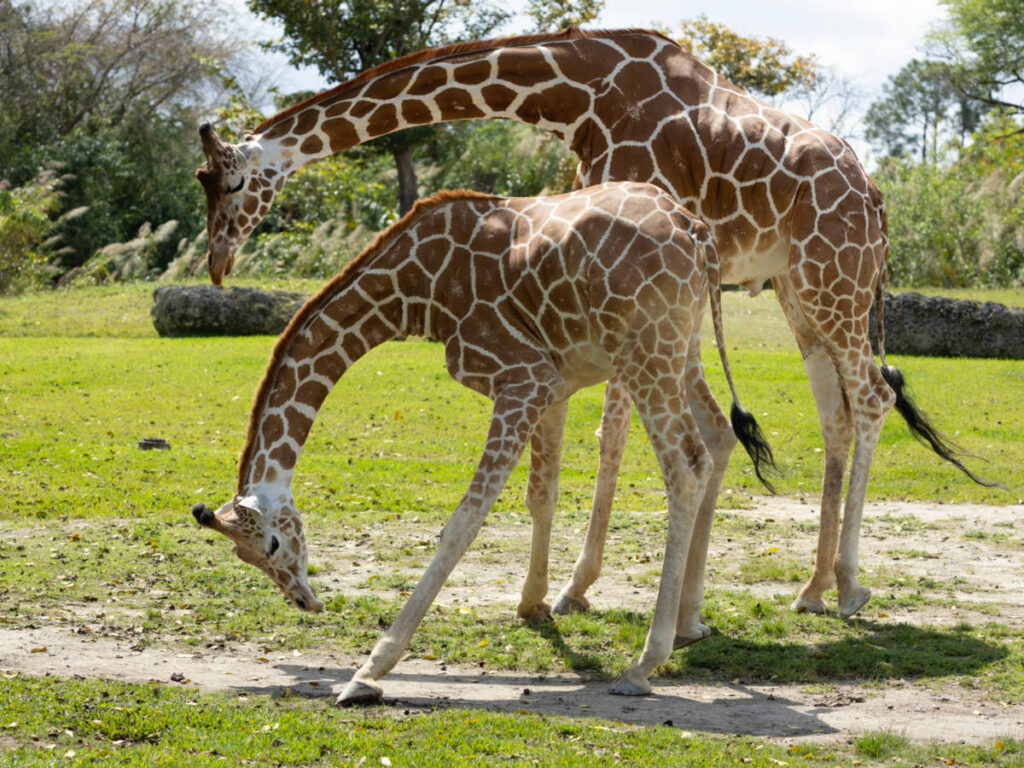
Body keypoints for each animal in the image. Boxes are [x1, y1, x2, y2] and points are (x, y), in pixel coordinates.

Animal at [191, 181, 774, 704]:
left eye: (270, 545)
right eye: (244, 557)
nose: (304, 601)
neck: (418, 290)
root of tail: (696, 232)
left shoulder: (523, 378)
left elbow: (462, 522)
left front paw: (369, 672)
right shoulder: (556, 381)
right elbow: (542, 495)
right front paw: (533, 605)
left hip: (645, 350)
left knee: (687, 464)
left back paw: (643, 664)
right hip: (681, 344)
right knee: (718, 435)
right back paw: (689, 625)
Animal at [195, 27, 991, 621]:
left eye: (230, 182)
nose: (217, 263)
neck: (574, 94)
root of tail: (878, 196)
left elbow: (613, 432)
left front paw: (574, 589)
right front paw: (573, 588)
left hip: (835, 285)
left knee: (876, 396)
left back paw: (852, 586)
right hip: (801, 293)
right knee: (839, 412)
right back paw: (814, 588)